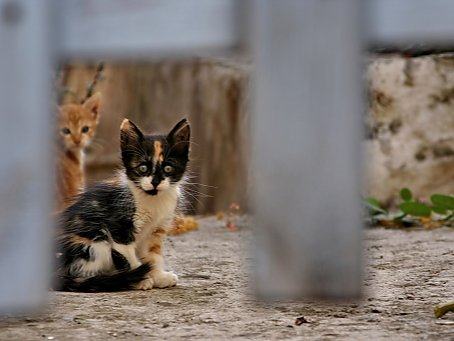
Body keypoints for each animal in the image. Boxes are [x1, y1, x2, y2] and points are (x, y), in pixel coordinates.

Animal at [55, 118, 191, 290]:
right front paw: (139, 279)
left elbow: (153, 255)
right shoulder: (118, 226)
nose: (155, 183)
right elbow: (128, 256)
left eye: (168, 168)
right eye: (143, 168)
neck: (153, 200)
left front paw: (159, 276)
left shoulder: (156, 230)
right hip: (94, 242)